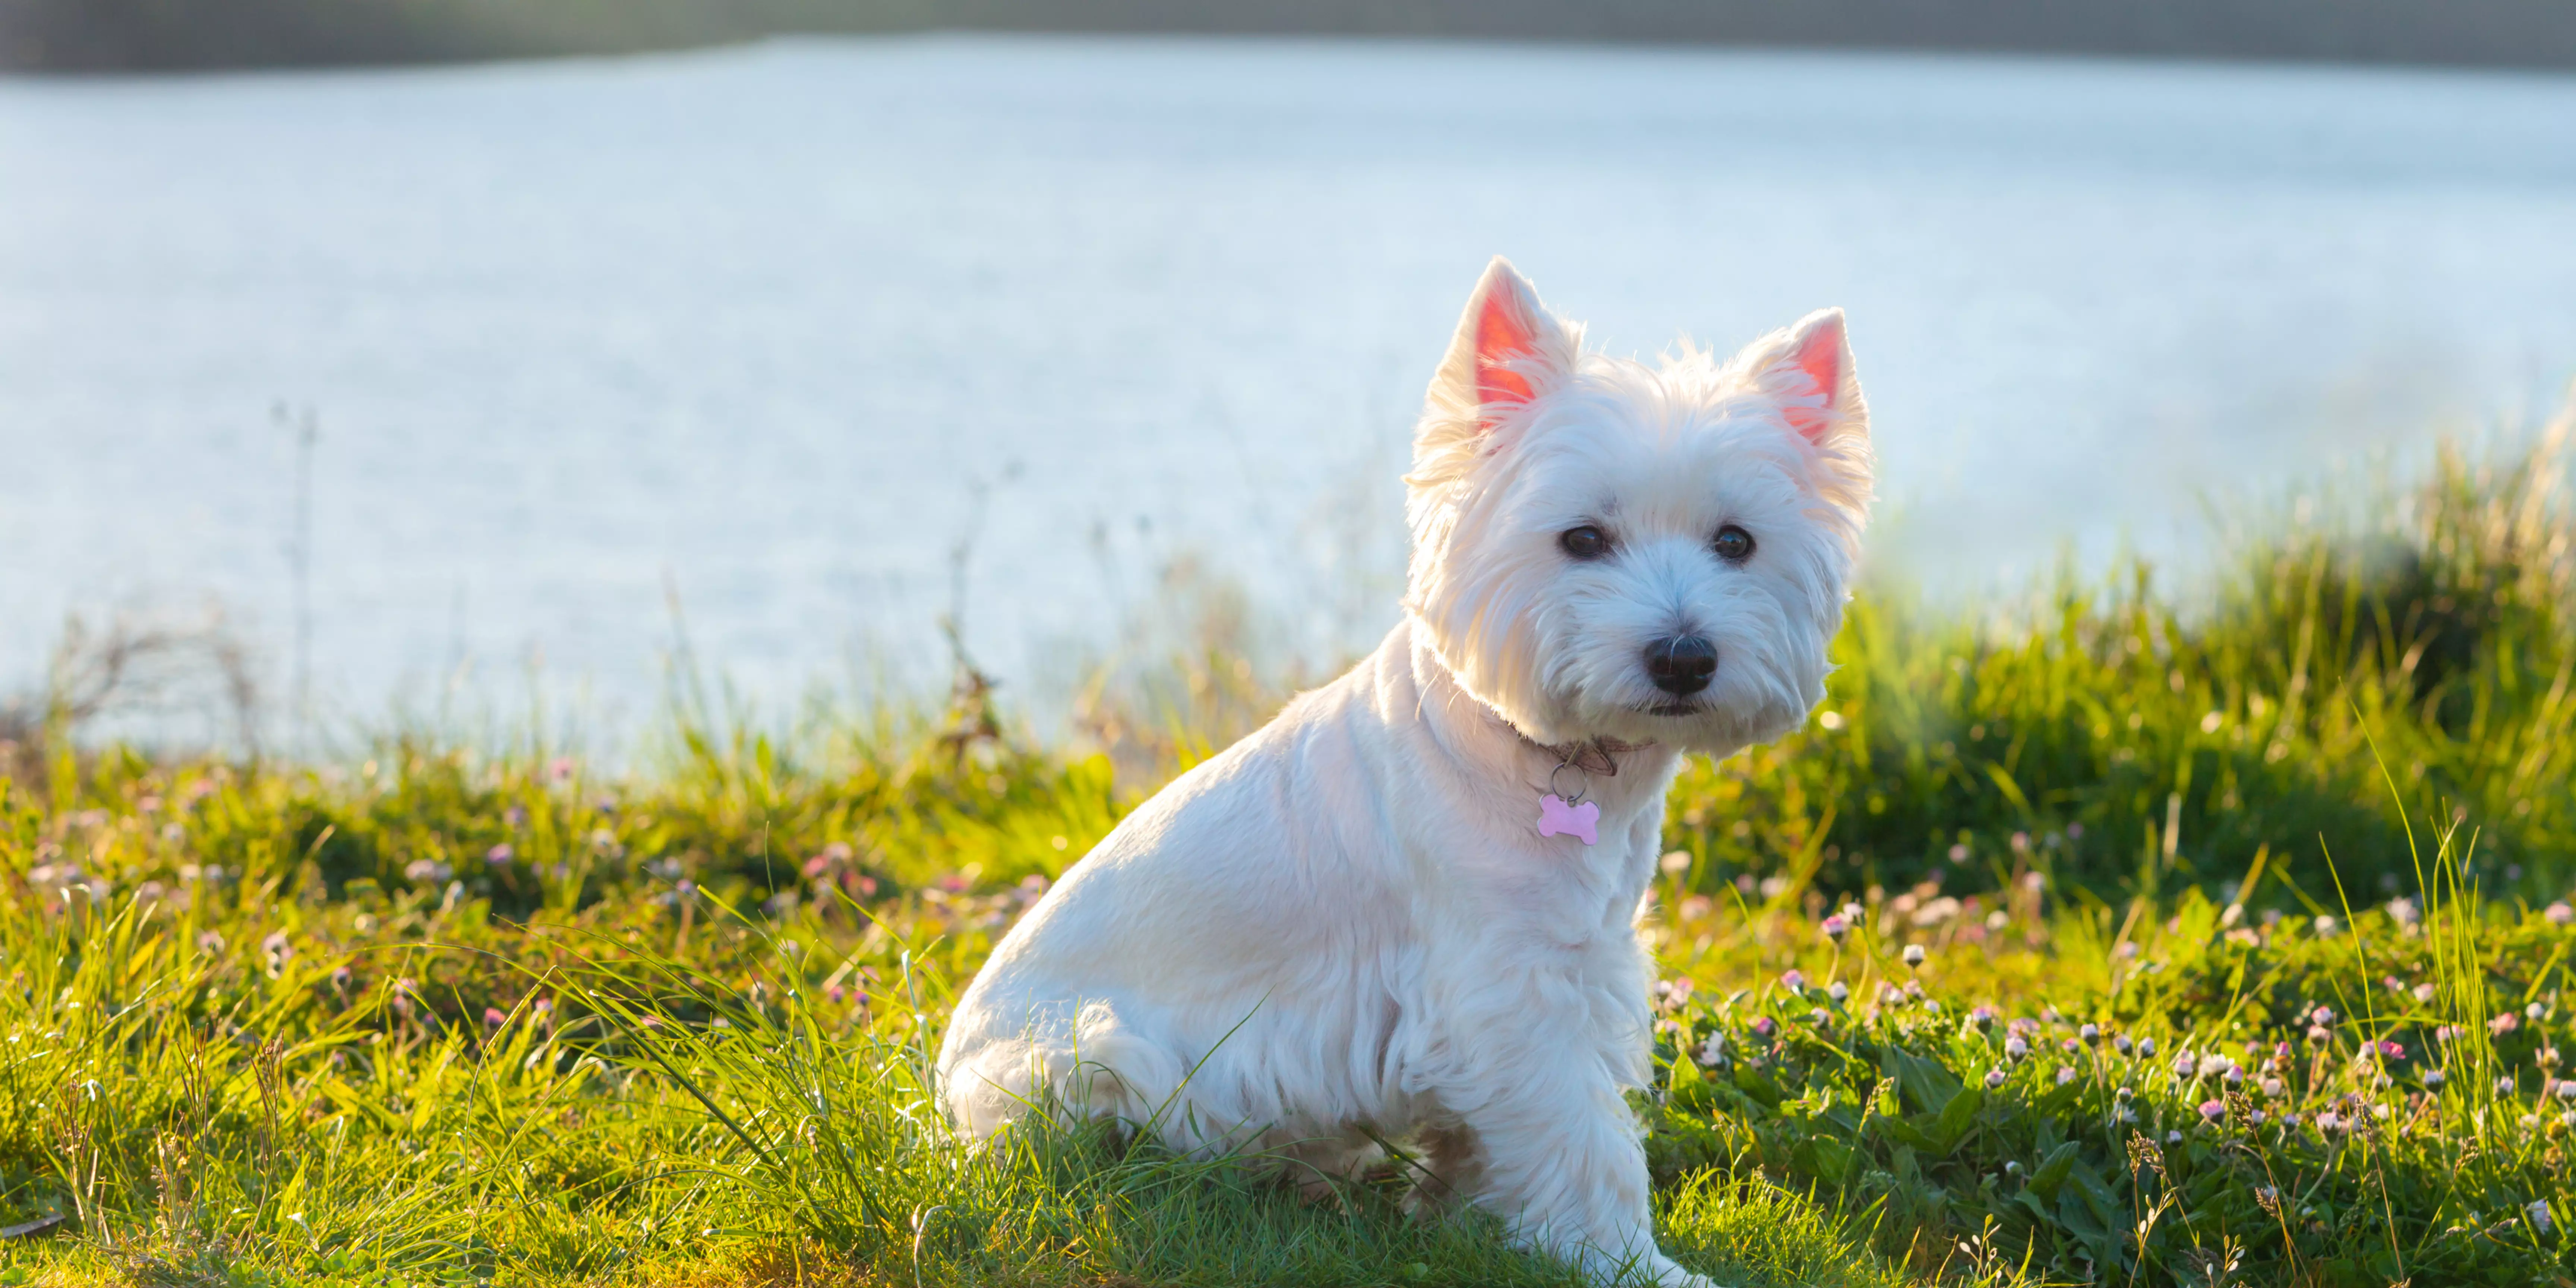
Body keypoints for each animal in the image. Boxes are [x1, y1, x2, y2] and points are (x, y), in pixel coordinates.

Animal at [948, 256, 1875, 1283]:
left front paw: (1465, 1217)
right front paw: (1627, 1263)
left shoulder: (1573, 966)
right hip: (1089, 1055)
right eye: (1582, 539)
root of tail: (944, 1084)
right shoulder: (1507, 983)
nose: (1683, 657)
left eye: (1736, 542)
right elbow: (1584, 1138)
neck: (1546, 761)